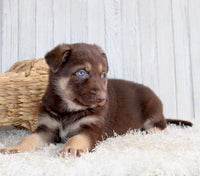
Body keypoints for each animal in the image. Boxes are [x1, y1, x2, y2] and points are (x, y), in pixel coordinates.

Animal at [0, 42, 193, 157]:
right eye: (81, 72)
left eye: (102, 75)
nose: (102, 98)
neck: (69, 109)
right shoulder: (46, 128)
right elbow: (30, 139)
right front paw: (15, 148)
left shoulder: (91, 128)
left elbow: (77, 138)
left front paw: (71, 148)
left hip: (153, 107)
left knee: (162, 123)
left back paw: (150, 130)